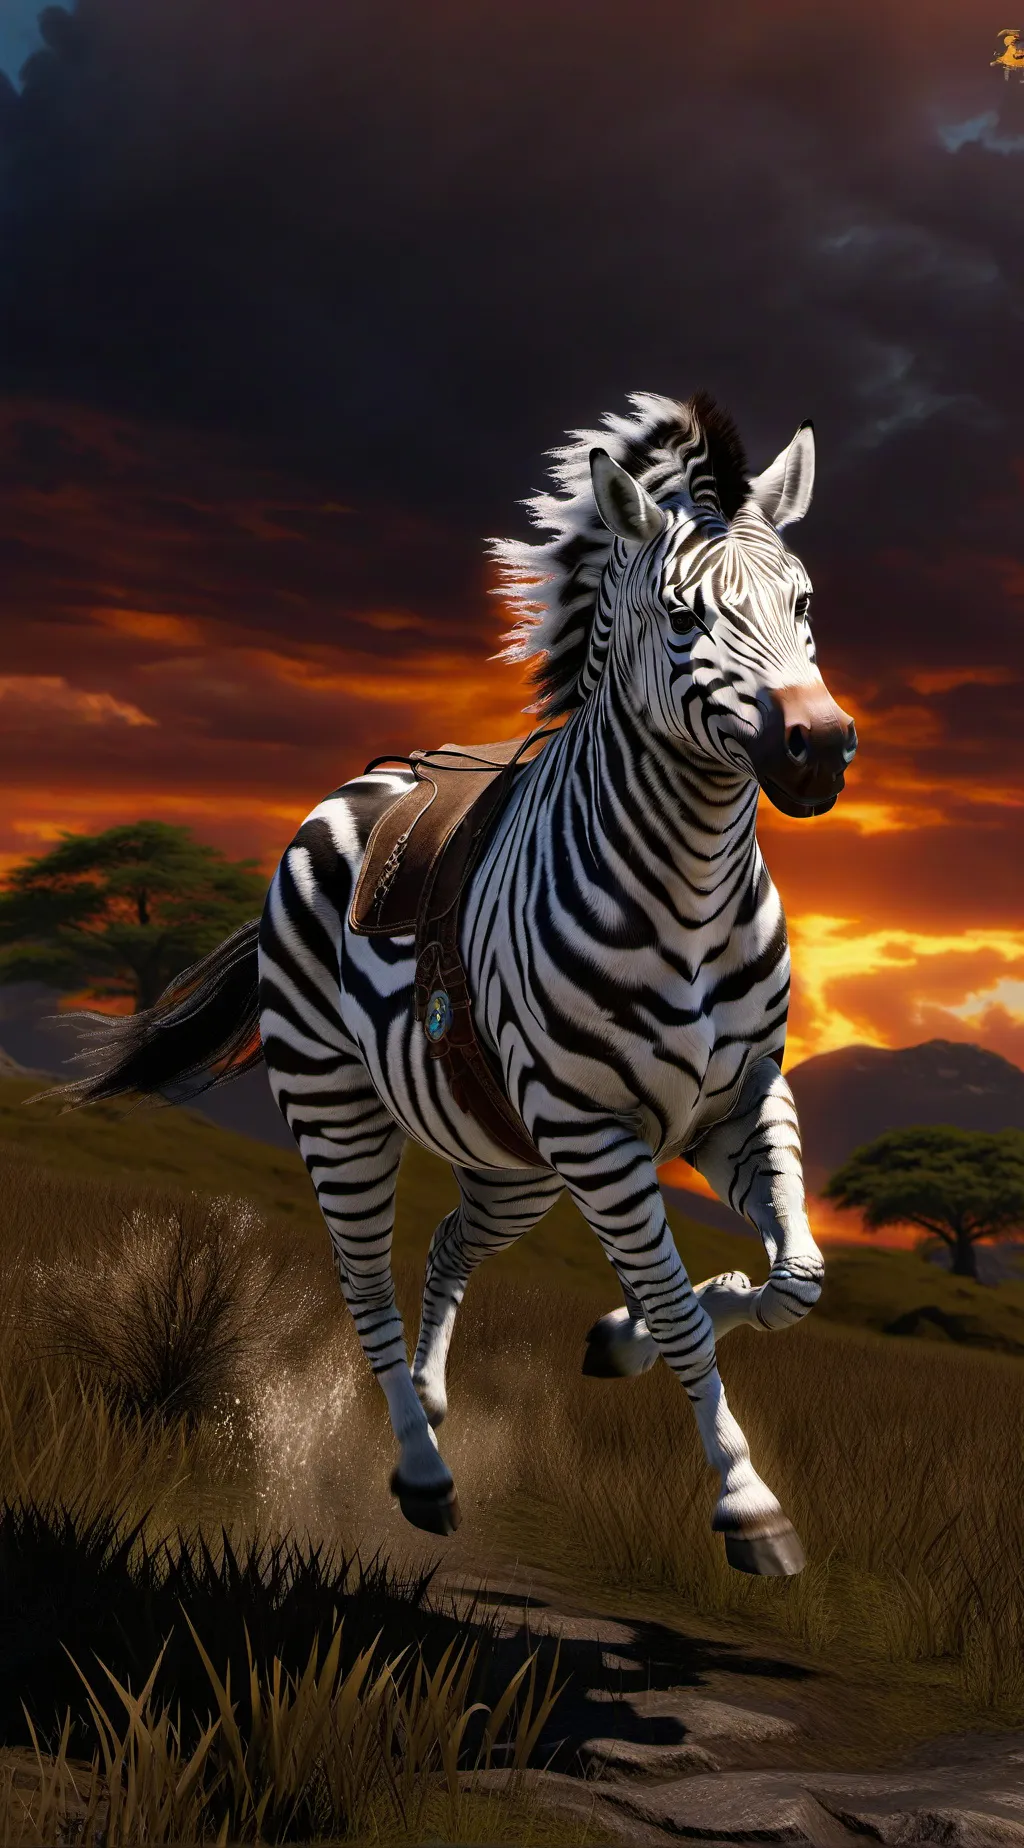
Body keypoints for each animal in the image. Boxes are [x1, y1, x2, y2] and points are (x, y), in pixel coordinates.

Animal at [54, 391, 857, 1575]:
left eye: (802, 604)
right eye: (682, 619)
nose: (818, 749)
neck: (694, 892)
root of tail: (362, 782)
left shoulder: (736, 1098)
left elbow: (796, 1280)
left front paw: (623, 1340)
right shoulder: (597, 1133)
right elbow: (673, 1303)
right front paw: (747, 1501)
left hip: (513, 1151)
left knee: (445, 1243)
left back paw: (435, 1409)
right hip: (349, 1113)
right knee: (362, 1279)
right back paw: (422, 1474)